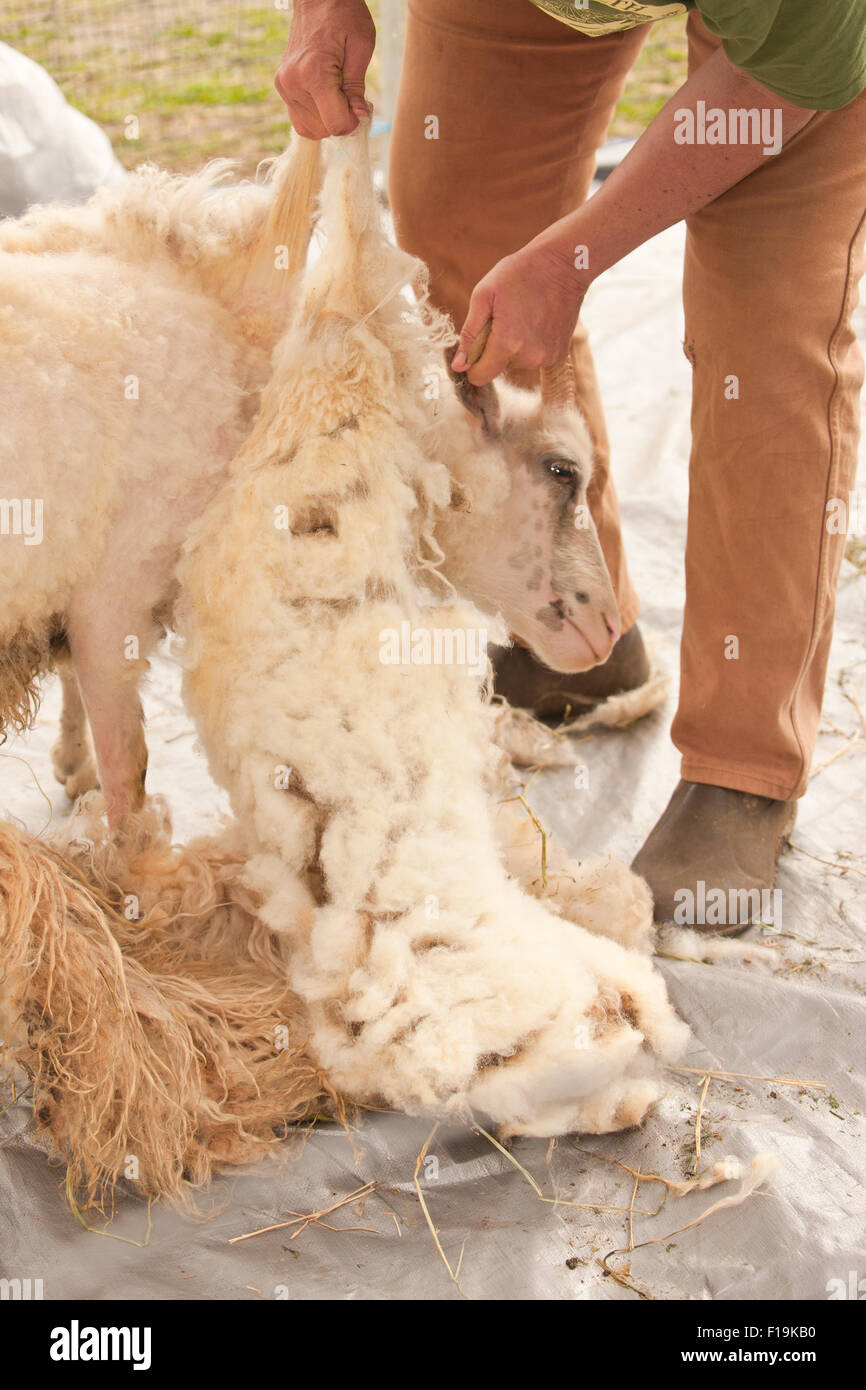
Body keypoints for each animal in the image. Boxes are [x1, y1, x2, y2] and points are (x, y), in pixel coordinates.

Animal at [1, 122, 692, 1206]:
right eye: (561, 469)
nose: (604, 628)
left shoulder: (94, 589)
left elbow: (87, 715)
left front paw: (69, 775)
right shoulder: (117, 584)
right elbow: (130, 779)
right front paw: (139, 907)